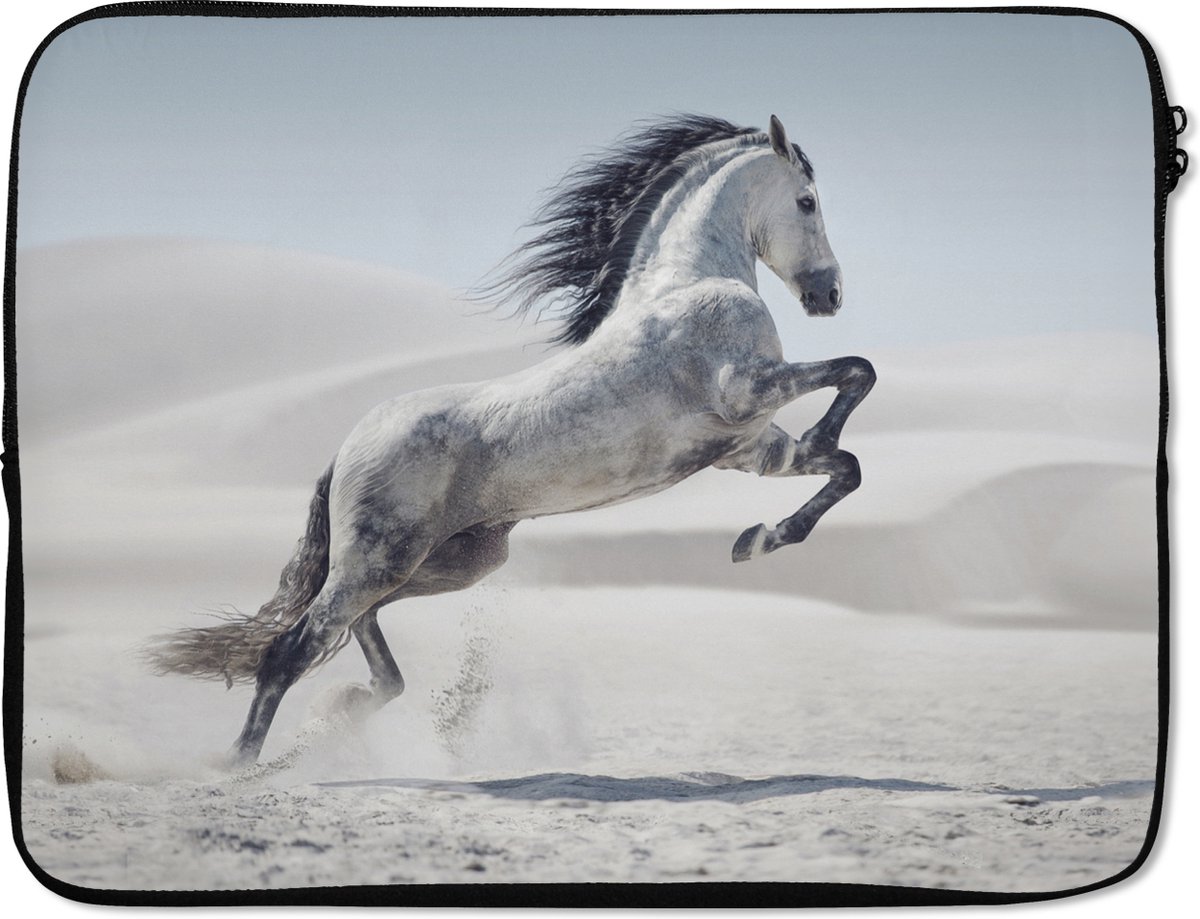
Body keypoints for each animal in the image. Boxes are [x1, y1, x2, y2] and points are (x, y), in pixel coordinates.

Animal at [148, 114, 876, 767]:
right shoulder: (745, 390)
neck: (689, 283)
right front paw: (788, 487)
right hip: (379, 560)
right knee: (292, 648)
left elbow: (846, 466)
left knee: (362, 634)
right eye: (807, 201)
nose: (831, 294)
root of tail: (348, 446)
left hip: (449, 561)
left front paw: (757, 539)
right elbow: (857, 372)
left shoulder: (748, 448)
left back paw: (343, 710)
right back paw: (239, 763)